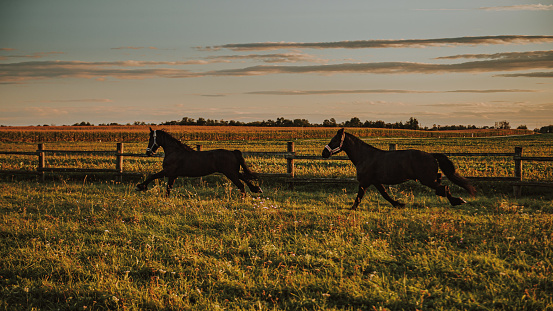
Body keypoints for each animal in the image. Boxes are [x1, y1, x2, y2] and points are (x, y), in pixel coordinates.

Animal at [322, 129, 476, 210]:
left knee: (443, 188)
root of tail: (431, 155)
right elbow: (385, 194)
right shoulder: (375, 182)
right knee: (441, 185)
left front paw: (352, 208)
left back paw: (458, 201)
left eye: (334, 140)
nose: (324, 153)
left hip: (427, 180)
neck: (364, 156)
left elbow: (359, 196)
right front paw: (399, 204)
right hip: (429, 179)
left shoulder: (365, 182)